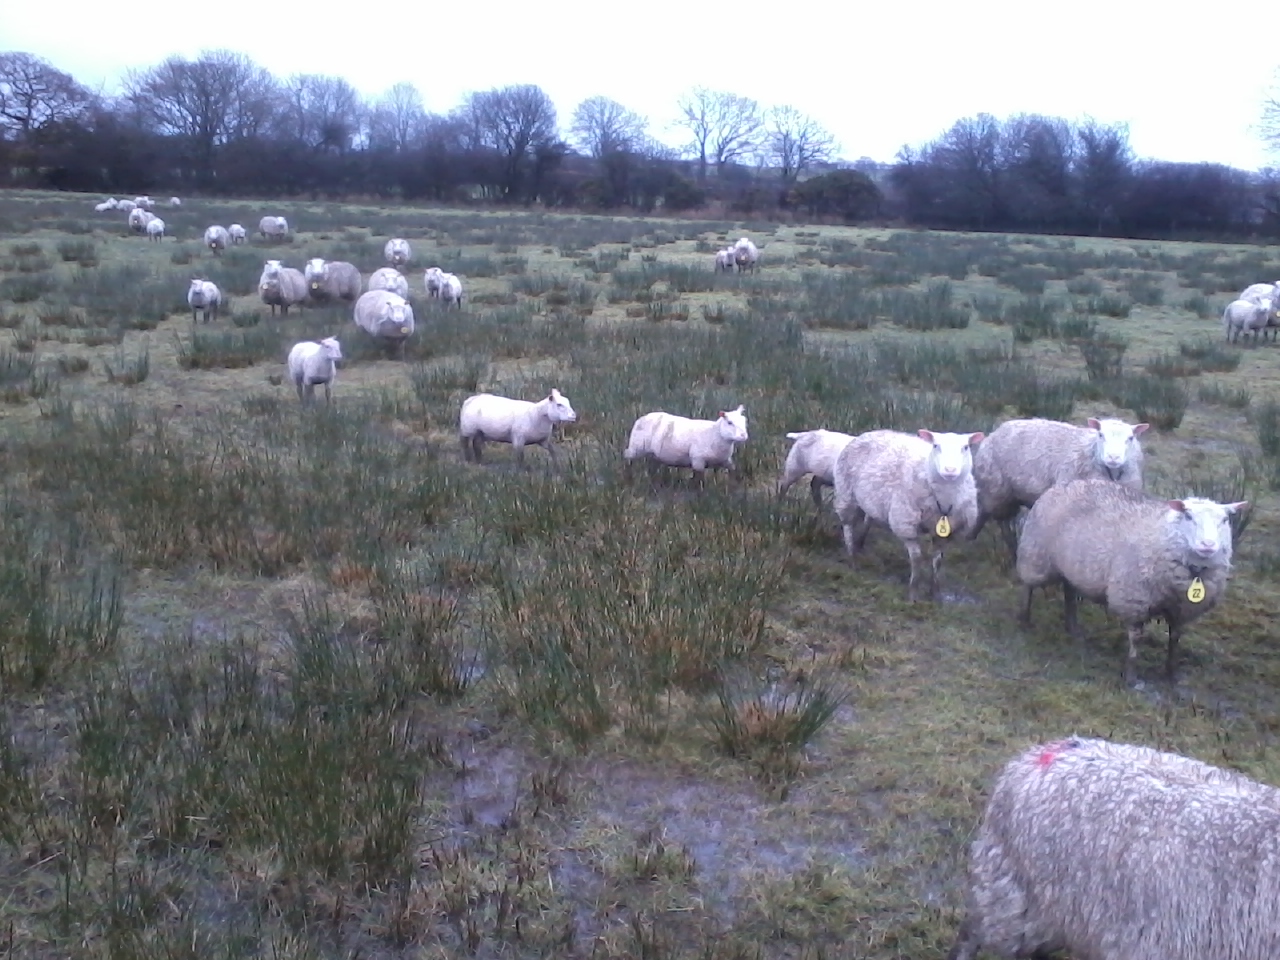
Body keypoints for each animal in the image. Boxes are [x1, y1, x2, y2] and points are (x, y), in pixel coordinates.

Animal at [833, 429, 984, 602]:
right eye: (935, 445)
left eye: (965, 447)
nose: (950, 470)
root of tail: (871, 432)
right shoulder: (906, 524)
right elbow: (917, 559)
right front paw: (913, 594)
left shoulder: (947, 532)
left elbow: (938, 561)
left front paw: (935, 592)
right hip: (846, 493)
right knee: (848, 526)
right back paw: (852, 558)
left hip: (871, 499)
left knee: (869, 518)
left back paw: (860, 543)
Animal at [969, 416, 1149, 549]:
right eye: (1101, 435)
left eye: (1130, 438)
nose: (1113, 457)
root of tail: (996, 431)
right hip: (996, 490)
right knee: (997, 519)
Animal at [1015, 478, 1247, 685]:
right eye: (1188, 516)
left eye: (1225, 520)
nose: (1208, 545)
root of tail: (1065, 483)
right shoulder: (1134, 600)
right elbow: (1136, 638)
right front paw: (1132, 677)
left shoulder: (1182, 609)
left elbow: (1175, 639)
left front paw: (1171, 674)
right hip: (1036, 553)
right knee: (1028, 586)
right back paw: (1024, 620)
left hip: (1072, 565)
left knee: (1069, 591)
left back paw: (1073, 627)